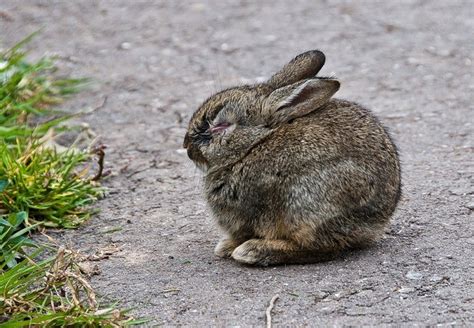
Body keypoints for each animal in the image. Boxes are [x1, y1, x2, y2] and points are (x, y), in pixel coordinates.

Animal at [181, 51, 400, 266]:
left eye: (221, 126)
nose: (187, 147)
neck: (253, 145)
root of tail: (378, 221)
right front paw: (226, 246)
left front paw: (233, 247)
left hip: (307, 205)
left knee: (324, 249)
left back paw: (253, 252)